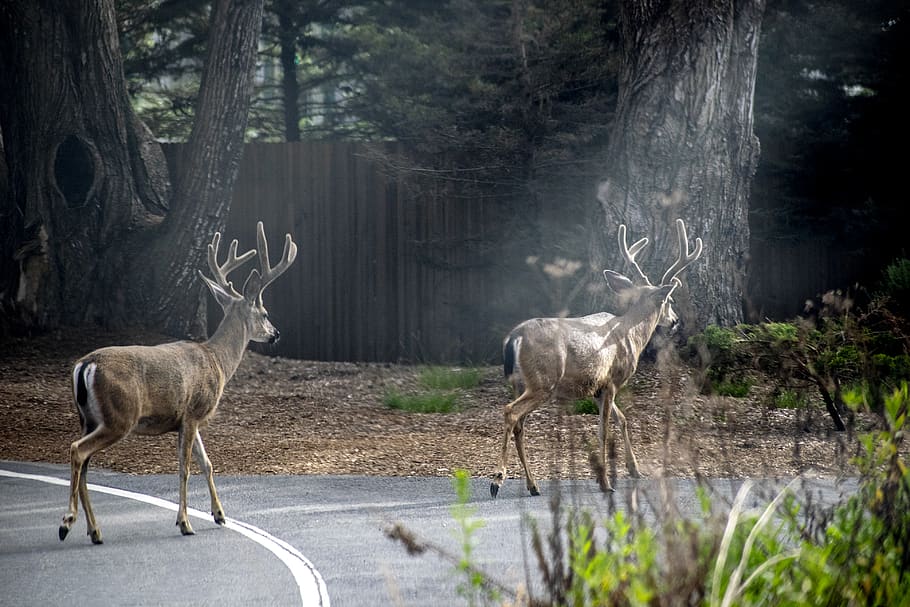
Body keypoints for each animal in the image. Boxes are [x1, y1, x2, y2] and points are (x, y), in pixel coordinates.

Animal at [58, 221, 297, 544]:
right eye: (265, 313)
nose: (276, 334)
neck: (217, 360)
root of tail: (86, 365)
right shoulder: (194, 412)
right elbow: (184, 469)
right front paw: (185, 522)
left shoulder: (186, 419)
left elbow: (207, 463)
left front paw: (219, 514)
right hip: (118, 417)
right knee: (78, 451)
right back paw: (67, 523)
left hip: (87, 418)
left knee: (84, 464)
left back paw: (95, 531)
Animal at [490, 218, 702, 498]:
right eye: (669, 299)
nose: (676, 321)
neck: (630, 333)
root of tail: (514, 337)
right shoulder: (612, 380)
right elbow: (604, 429)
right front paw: (605, 481)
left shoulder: (596, 387)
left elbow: (622, 419)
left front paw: (634, 469)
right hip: (542, 382)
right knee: (510, 412)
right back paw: (497, 480)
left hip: (520, 383)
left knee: (520, 425)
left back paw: (533, 485)